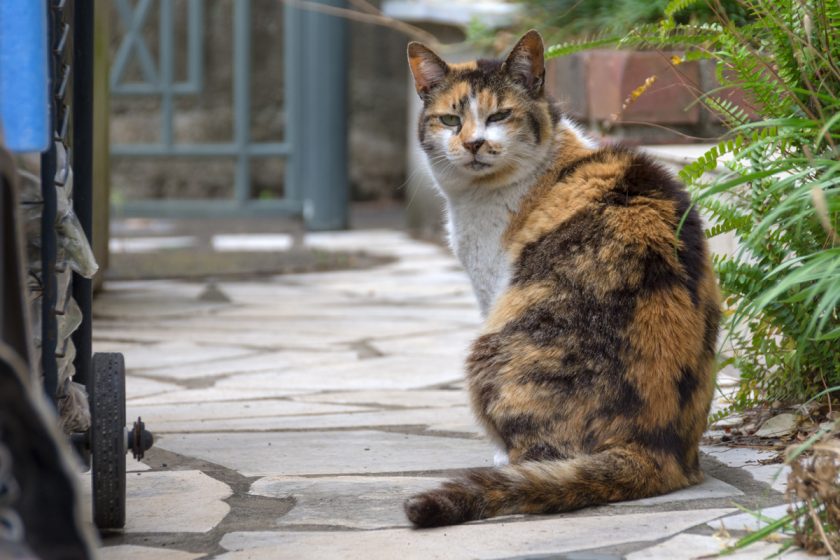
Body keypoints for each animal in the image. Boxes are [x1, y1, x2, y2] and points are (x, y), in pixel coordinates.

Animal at [404, 31, 720, 528]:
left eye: (499, 115)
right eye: (450, 119)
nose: (473, 143)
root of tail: (653, 451)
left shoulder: (492, 287)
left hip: (490, 346)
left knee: (538, 453)